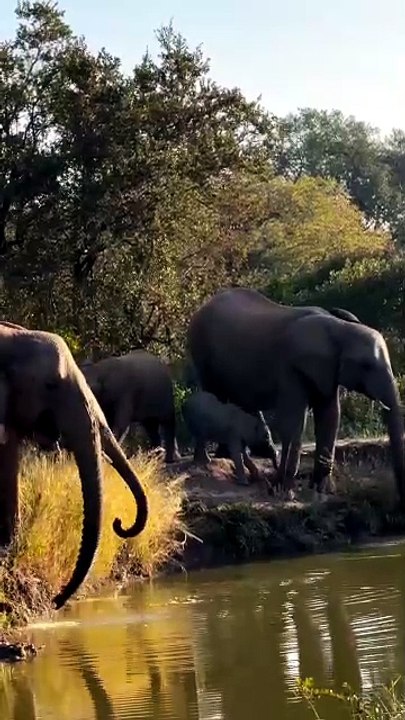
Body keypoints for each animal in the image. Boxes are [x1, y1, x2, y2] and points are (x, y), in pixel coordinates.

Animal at [187, 288, 405, 503]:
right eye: (365, 366)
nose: (397, 497)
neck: (339, 329)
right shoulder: (290, 367)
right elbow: (294, 420)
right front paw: (285, 491)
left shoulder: (327, 371)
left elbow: (330, 416)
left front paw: (321, 491)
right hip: (201, 351)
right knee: (213, 393)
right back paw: (215, 457)